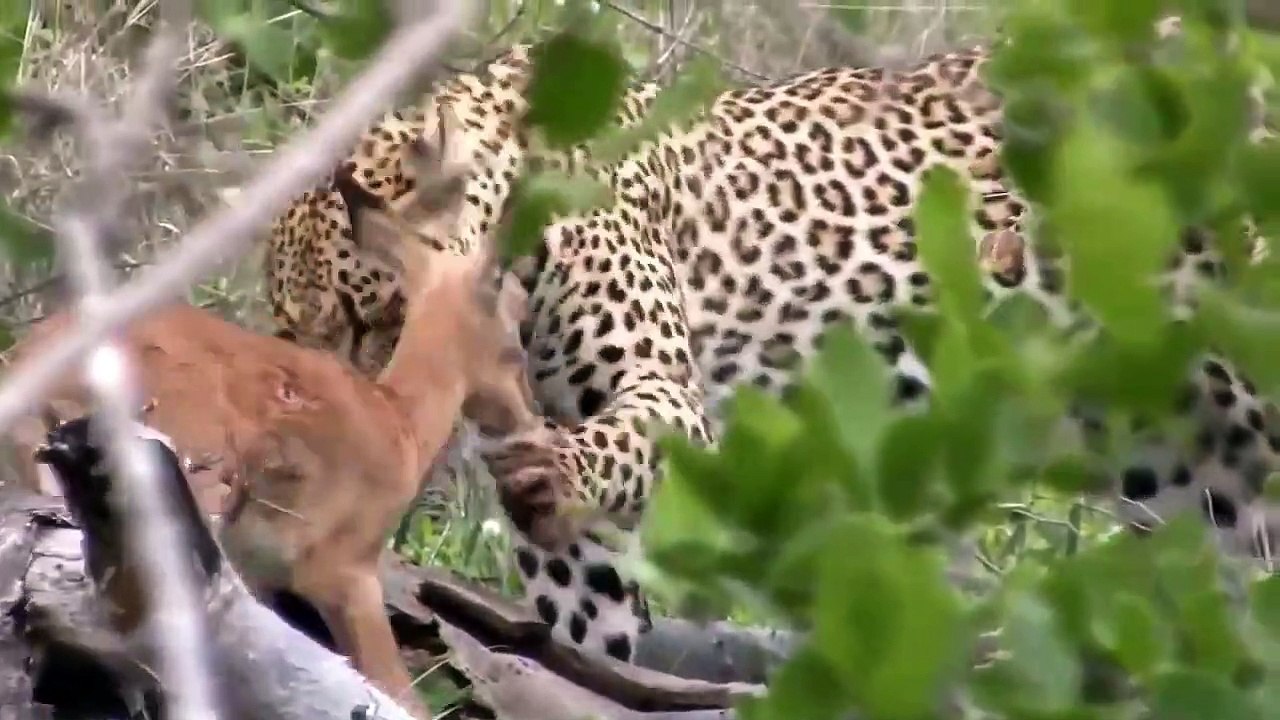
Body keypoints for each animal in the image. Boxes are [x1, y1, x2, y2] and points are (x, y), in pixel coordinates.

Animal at [263, 27, 1280, 669]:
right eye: (293, 332)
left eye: (367, 317)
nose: (345, 430)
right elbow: (586, 617)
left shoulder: (661, 390)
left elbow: (617, 445)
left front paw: (558, 469)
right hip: (1197, 468)